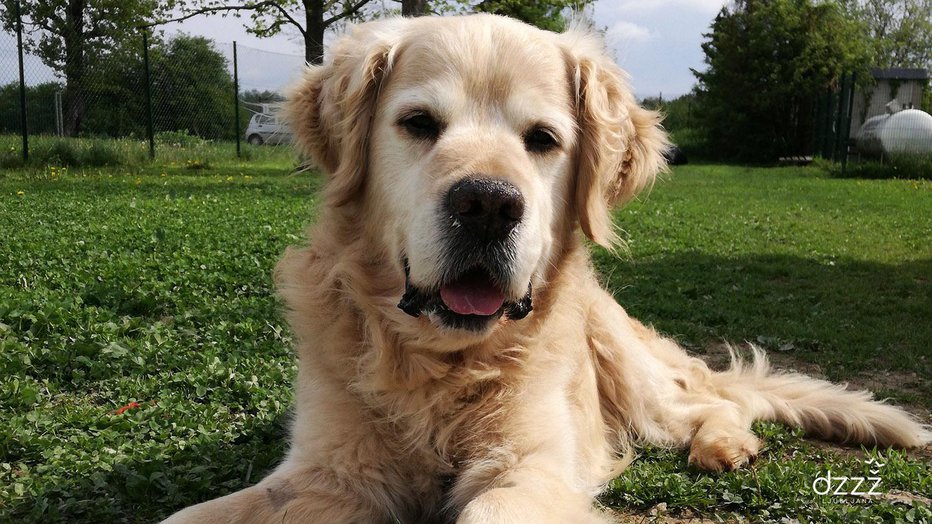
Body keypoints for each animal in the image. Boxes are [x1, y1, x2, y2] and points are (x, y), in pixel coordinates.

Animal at [164, 13, 928, 524]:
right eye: (418, 124)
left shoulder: (529, 466)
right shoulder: (326, 468)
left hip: (633, 376)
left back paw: (724, 444)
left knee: (717, 402)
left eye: (543, 139)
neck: (440, 364)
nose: (487, 205)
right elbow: (191, 514)